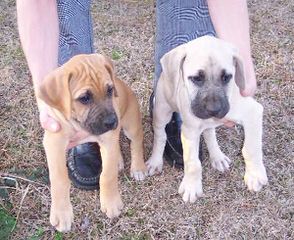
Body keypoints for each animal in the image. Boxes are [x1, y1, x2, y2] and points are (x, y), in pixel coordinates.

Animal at [36, 53, 147, 232]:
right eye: (84, 98)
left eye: (110, 90)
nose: (112, 121)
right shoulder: (54, 141)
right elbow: (59, 178)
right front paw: (61, 213)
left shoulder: (108, 137)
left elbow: (107, 175)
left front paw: (111, 202)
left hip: (131, 124)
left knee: (136, 142)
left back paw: (138, 167)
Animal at [148, 35, 268, 202]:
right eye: (196, 78)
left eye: (227, 77)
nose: (214, 109)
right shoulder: (189, 131)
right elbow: (193, 163)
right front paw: (192, 186)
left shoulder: (253, 113)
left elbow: (251, 148)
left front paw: (255, 174)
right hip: (161, 111)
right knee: (160, 136)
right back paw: (155, 160)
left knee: (209, 133)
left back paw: (217, 157)